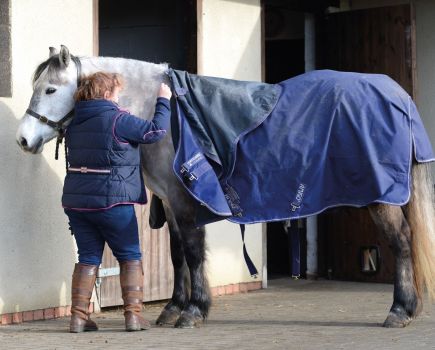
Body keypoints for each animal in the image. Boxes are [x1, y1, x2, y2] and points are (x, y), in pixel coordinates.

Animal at [15, 45, 435, 328]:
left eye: (50, 89)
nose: (23, 139)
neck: (161, 113)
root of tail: (396, 94)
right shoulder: (171, 203)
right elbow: (177, 256)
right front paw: (172, 309)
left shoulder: (185, 200)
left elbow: (194, 252)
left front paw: (194, 311)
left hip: (381, 196)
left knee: (401, 242)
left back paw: (399, 310)